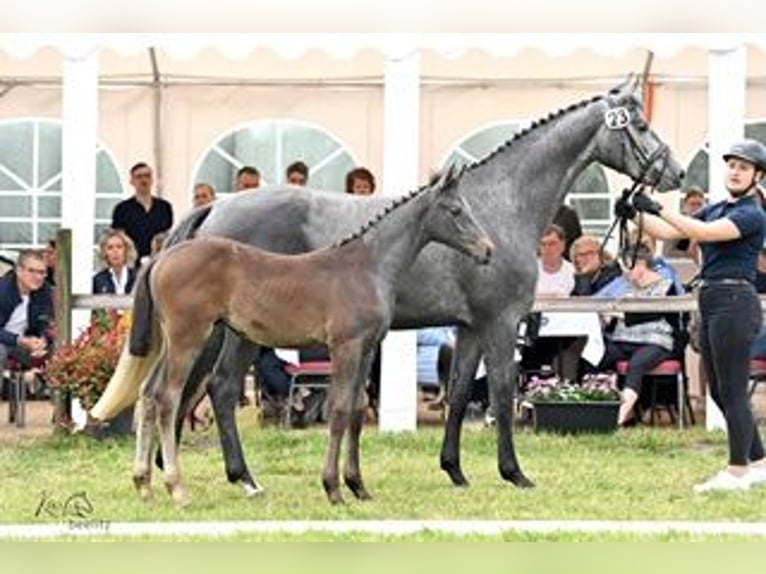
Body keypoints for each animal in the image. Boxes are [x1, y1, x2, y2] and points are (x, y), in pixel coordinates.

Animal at [94, 77, 684, 500]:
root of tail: (216, 208)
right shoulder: (500, 321)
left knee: (181, 393)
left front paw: (454, 470)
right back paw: (238, 478)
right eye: (639, 125)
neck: (500, 201)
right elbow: (500, 391)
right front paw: (513, 472)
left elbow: (458, 394)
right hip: (229, 334)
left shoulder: (469, 327)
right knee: (206, 390)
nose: (674, 174)